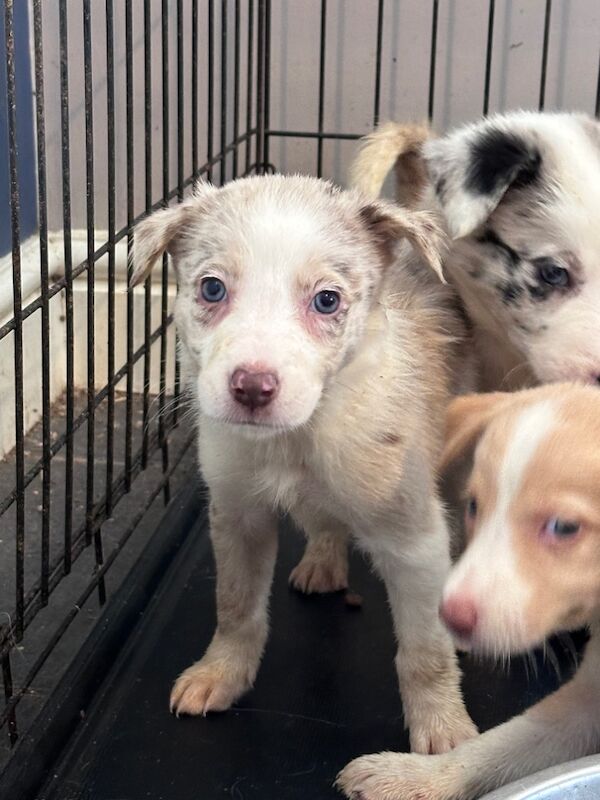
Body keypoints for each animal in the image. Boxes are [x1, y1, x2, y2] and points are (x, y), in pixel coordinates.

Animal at [132, 175, 478, 756]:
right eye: (211, 289)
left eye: (327, 300)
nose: (252, 387)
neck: (297, 439)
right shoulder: (237, 515)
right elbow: (236, 608)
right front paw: (221, 673)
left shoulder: (415, 541)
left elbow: (424, 652)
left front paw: (444, 732)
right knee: (324, 520)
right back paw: (323, 560)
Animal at [340, 382, 600, 800]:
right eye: (475, 506)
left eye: (564, 526)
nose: (448, 616)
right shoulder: (584, 705)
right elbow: (494, 746)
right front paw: (414, 775)